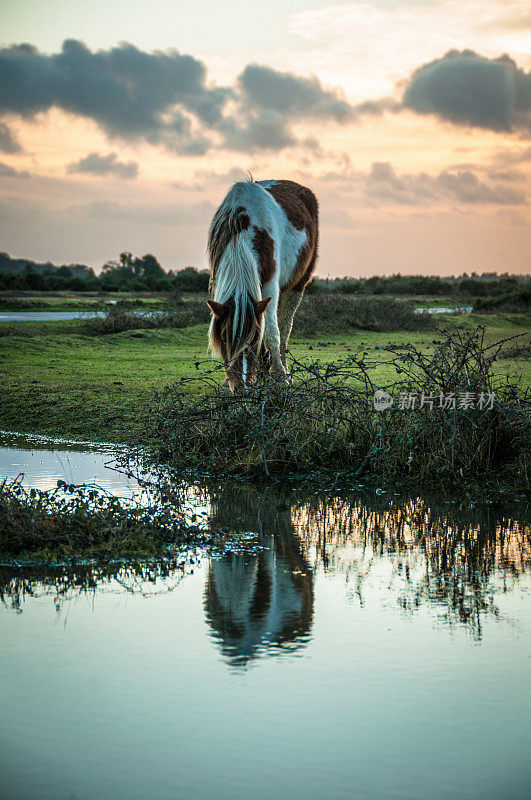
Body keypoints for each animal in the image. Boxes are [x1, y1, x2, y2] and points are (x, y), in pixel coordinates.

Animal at [206, 178, 318, 390]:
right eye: (223, 338)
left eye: (254, 339)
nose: (241, 387)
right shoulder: (217, 283)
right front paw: (227, 382)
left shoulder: (269, 287)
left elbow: (272, 334)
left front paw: (280, 379)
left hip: (296, 286)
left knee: (284, 329)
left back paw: (282, 372)